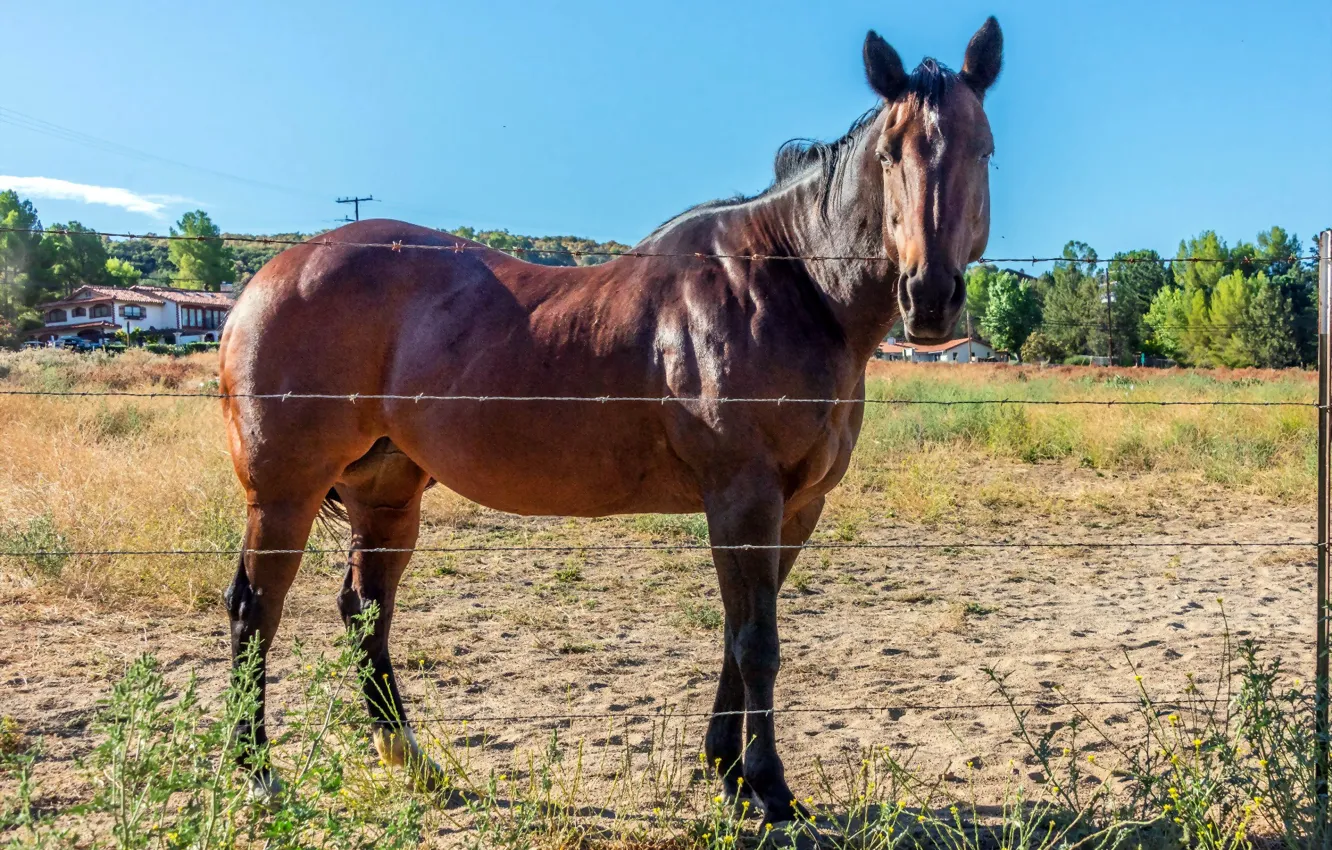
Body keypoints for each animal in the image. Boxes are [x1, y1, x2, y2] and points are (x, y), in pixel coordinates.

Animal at [218, 18, 1001, 831]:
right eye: (889, 155)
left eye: (982, 150)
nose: (931, 298)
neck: (790, 285)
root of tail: (266, 281)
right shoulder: (744, 499)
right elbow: (758, 643)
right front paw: (770, 788)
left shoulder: (796, 508)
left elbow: (738, 635)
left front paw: (726, 771)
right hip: (284, 493)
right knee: (254, 607)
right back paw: (257, 773)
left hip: (387, 492)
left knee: (365, 610)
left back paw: (410, 759)